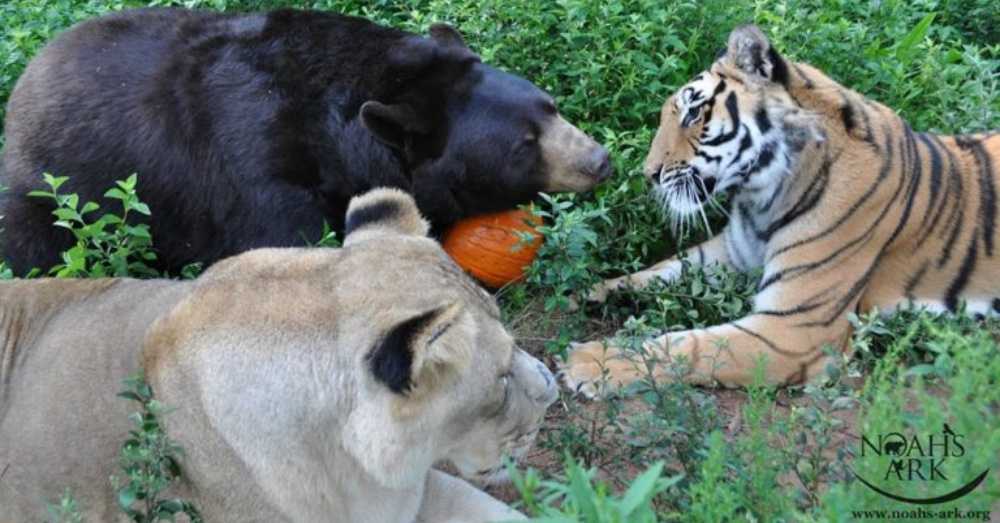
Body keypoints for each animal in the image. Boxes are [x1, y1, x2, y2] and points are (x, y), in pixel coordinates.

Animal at [1, 8, 608, 276]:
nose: (598, 160)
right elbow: (283, 242)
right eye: (523, 144)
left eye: (550, 105)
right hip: (50, 194)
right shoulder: (255, 165)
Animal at [564, 24, 1000, 392]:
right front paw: (584, 292)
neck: (761, 197)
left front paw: (592, 362)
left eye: (694, 112)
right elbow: (655, 272)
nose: (648, 174)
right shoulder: (731, 253)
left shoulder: (796, 329)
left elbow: (689, 347)